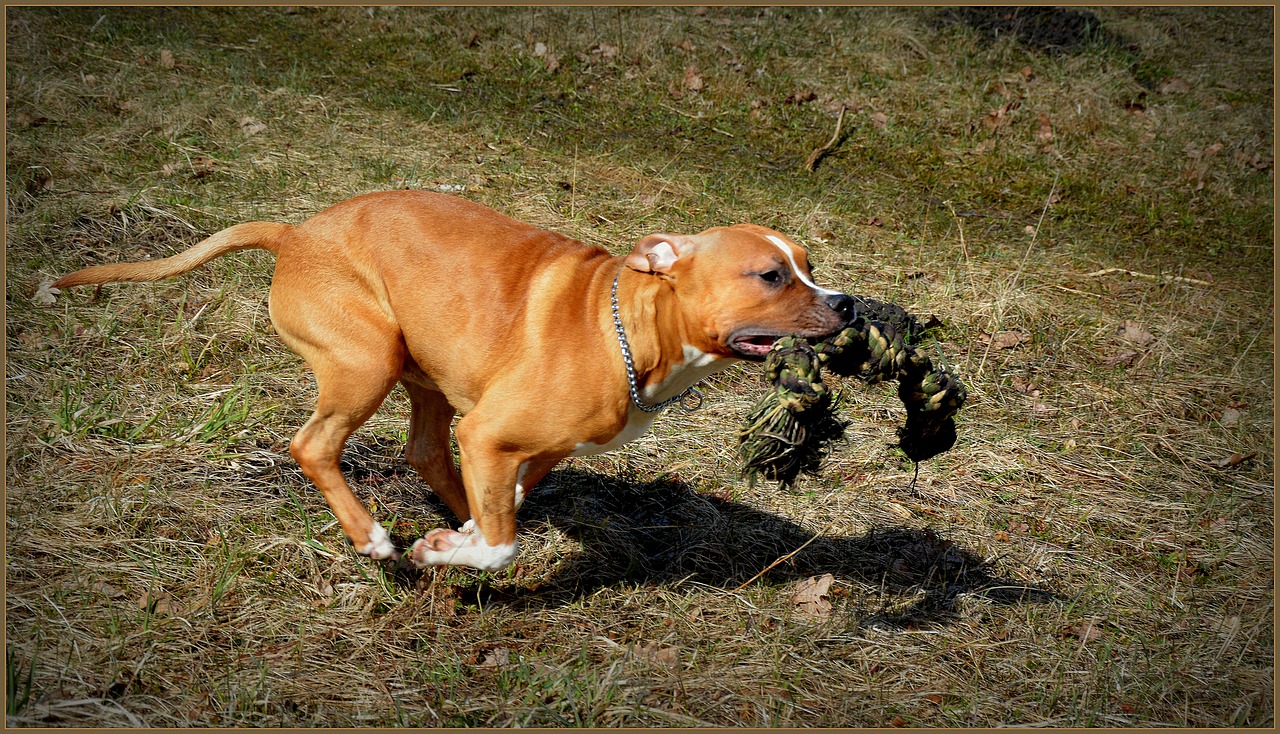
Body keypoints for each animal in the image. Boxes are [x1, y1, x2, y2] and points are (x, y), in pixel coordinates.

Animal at [60, 192, 860, 568]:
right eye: (770, 275)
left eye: (808, 264)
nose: (847, 302)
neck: (630, 330)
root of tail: (296, 235)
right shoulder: (490, 435)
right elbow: (505, 540)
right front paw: (446, 552)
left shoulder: (530, 447)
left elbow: (508, 502)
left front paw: (460, 536)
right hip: (367, 362)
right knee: (314, 446)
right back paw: (373, 539)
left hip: (425, 376)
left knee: (423, 450)